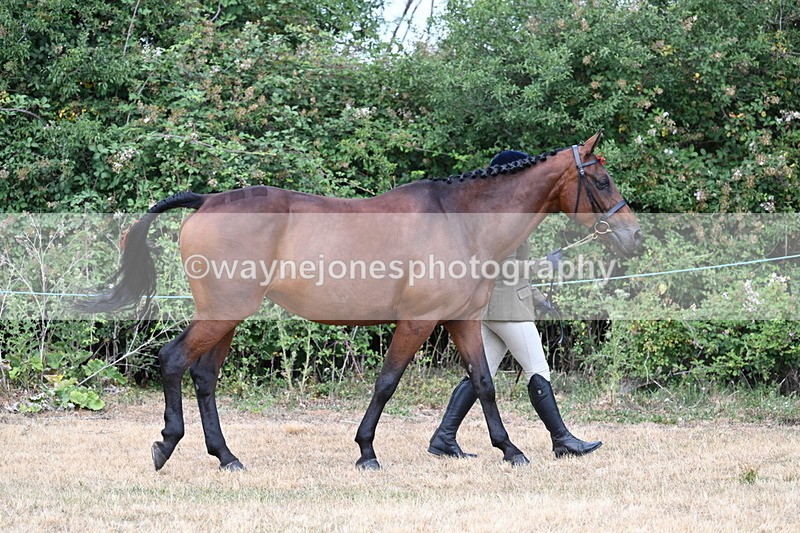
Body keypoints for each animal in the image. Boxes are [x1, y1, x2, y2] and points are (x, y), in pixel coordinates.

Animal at [80, 131, 641, 471]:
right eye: (602, 178)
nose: (632, 238)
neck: (461, 222)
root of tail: (206, 200)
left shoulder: (462, 321)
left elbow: (482, 384)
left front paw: (510, 450)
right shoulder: (417, 321)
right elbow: (387, 383)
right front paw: (367, 451)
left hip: (228, 317)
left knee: (203, 376)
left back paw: (227, 457)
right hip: (222, 313)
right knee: (174, 360)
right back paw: (166, 444)